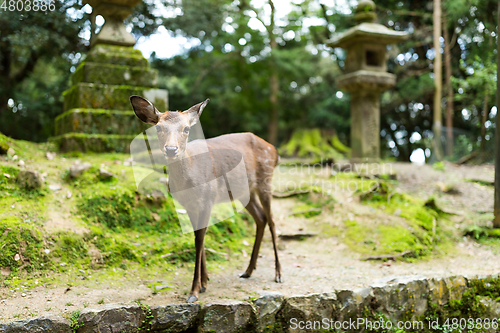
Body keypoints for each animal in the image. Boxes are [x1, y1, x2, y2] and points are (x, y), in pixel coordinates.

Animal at [129, 94, 284, 302]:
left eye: (186, 128)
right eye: (158, 127)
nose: (171, 149)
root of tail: (274, 150)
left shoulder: (208, 198)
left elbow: (199, 239)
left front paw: (194, 291)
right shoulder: (189, 205)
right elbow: (198, 238)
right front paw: (204, 282)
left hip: (265, 181)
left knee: (272, 221)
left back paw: (278, 274)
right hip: (245, 192)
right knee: (261, 218)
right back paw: (248, 270)